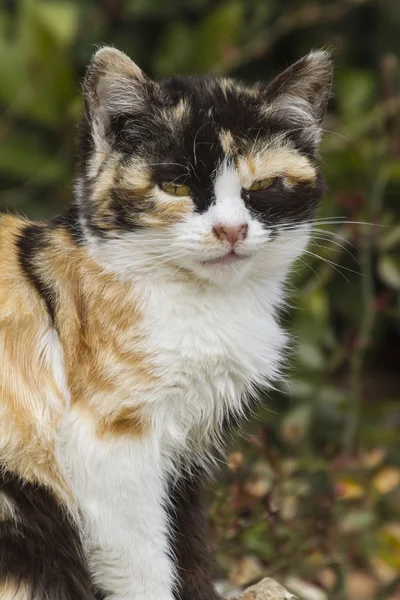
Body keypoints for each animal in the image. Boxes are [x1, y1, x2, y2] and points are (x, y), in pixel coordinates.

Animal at [0, 48, 332, 600]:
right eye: (175, 185)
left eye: (264, 185)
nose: (231, 230)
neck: (208, 305)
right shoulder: (106, 442)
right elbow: (142, 564)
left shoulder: (186, 456)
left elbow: (189, 546)